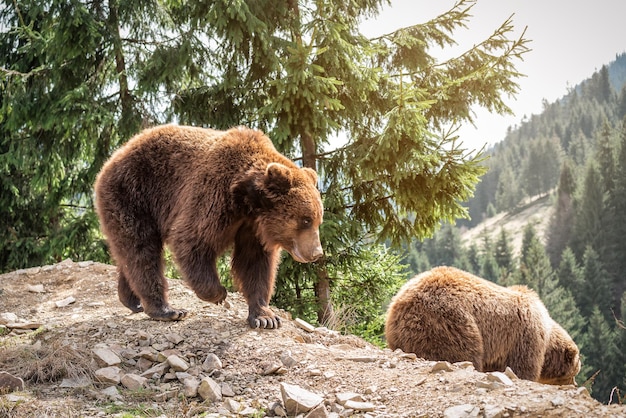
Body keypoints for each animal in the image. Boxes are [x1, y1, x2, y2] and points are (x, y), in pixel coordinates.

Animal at [95, 124, 324, 330]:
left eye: (318, 220)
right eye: (305, 220)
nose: (317, 253)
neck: (247, 200)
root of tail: (114, 156)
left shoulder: (253, 227)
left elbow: (255, 263)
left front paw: (265, 317)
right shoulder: (213, 196)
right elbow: (191, 239)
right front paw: (218, 294)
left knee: (131, 254)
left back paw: (132, 301)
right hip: (132, 194)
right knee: (141, 249)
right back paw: (166, 310)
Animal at [386, 268, 580, 386]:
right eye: (574, 372)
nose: (575, 383)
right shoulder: (523, 337)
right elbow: (522, 368)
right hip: (450, 324)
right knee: (459, 352)